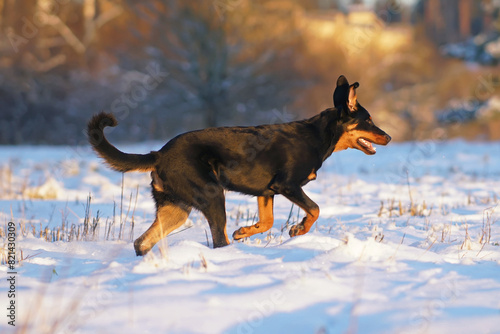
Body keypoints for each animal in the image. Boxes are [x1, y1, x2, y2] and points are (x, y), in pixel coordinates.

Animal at [87, 74, 390, 254]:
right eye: (368, 120)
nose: (388, 136)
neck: (318, 136)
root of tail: (159, 153)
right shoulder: (287, 185)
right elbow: (314, 209)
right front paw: (299, 229)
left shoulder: (266, 192)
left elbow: (267, 222)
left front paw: (244, 231)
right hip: (212, 196)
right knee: (218, 241)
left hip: (176, 208)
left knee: (142, 242)